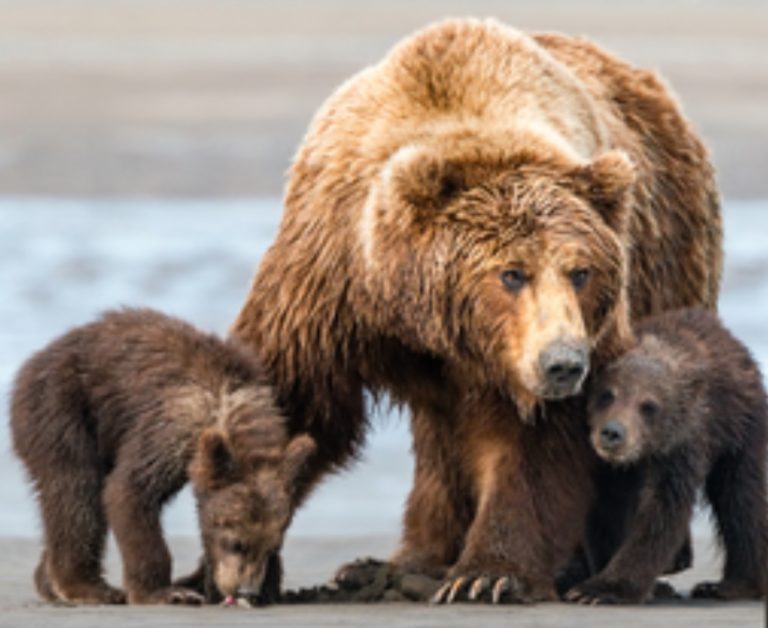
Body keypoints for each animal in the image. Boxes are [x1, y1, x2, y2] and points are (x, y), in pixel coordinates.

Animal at [10, 307, 315, 605]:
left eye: (272, 545)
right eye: (235, 542)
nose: (245, 590)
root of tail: (37, 357)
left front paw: (269, 586)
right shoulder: (170, 429)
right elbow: (129, 489)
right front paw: (166, 592)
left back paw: (47, 580)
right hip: (63, 407)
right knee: (76, 489)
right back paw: (87, 587)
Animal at [232, 18, 722, 602]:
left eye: (581, 272)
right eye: (511, 273)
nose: (563, 364)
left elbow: (533, 446)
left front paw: (487, 574)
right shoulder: (329, 286)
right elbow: (293, 401)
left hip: (669, 257)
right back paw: (397, 563)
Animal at [565, 307, 768, 604]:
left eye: (648, 406)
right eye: (607, 394)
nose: (613, 433)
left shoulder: (681, 448)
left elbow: (662, 513)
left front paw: (602, 589)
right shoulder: (602, 465)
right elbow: (606, 511)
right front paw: (598, 577)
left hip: (741, 431)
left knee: (741, 499)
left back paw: (729, 585)